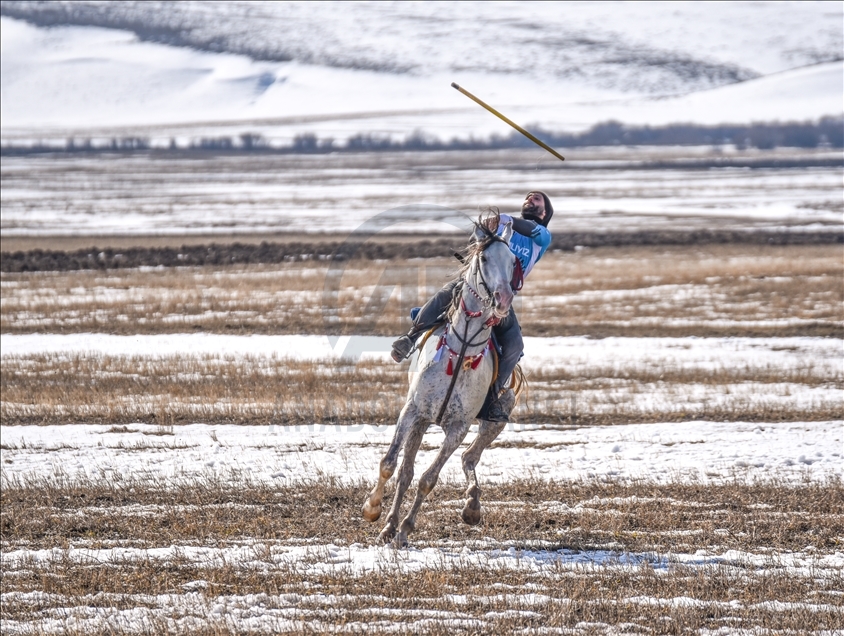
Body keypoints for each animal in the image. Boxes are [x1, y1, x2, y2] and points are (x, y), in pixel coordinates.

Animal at [360, 217, 516, 548]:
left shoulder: (458, 428)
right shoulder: (412, 411)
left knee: (469, 457)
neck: (463, 348)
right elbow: (390, 464)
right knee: (405, 471)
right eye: (484, 259)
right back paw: (388, 525)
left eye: (513, 262)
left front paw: (406, 529)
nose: (504, 299)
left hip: (493, 423)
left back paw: (470, 506)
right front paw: (372, 509)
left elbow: (429, 478)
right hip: (421, 422)